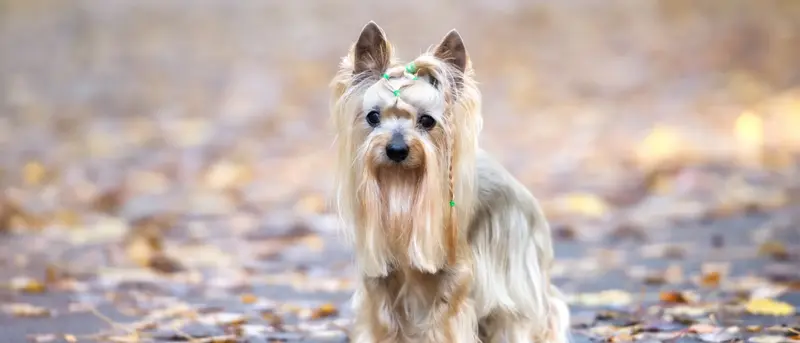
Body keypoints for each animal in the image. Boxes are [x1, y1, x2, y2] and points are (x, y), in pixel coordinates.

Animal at [330, 21, 568, 343]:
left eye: (427, 121)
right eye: (373, 117)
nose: (396, 149)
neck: (401, 184)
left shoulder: (457, 272)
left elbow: (443, 317)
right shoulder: (380, 274)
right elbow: (384, 319)